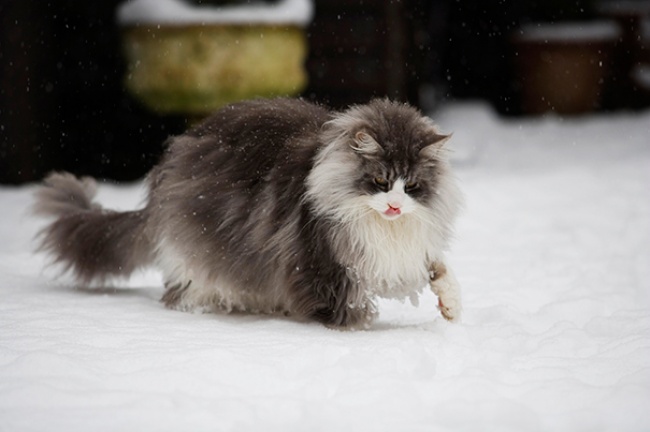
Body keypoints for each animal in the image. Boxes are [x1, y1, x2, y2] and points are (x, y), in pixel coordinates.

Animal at [34, 97, 460, 328]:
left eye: (412, 186)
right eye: (381, 181)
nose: (394, 205)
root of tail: (171, 159)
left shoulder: (397, 254)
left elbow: (437, 269)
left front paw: (450, 306)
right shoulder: (321, 259)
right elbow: (339, 305)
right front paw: (354, 329)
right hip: (201, 251)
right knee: (181, 289)